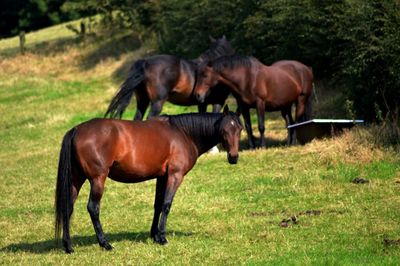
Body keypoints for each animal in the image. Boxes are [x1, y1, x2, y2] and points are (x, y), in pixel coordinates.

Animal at [54, 106, 242, 254]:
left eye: (240, 129)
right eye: (225, 130)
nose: (233, 157)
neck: (183, 133)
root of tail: (76, 130)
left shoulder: (162, 176)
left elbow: (158, 205)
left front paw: (154, 235)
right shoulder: (175, 175)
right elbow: (166, 204)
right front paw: (163, 237)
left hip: (76, 179)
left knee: (68, 207)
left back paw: (68, 246)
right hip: (97, 179)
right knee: (93, 208)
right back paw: (105, 243)